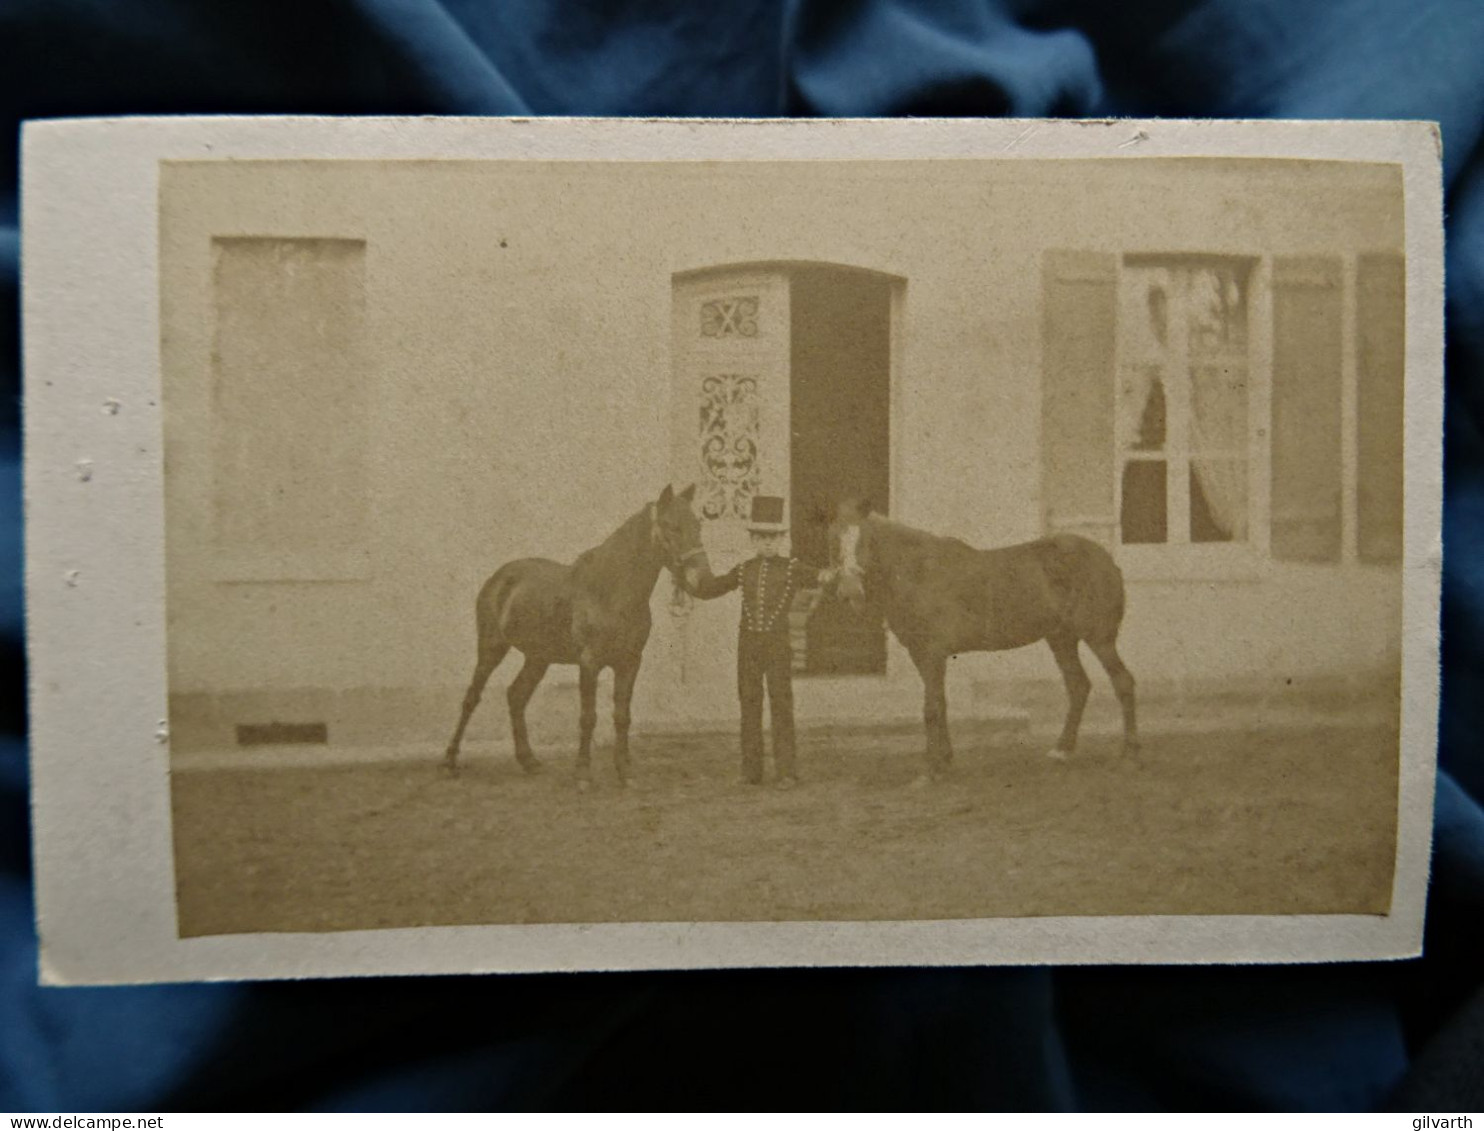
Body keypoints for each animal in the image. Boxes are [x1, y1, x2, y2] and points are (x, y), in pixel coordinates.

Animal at [442, 483, 709, 783]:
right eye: (671, 525)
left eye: (698, 524)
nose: (702, 578)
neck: (610, 592)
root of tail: (498, 578)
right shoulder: (589, 663)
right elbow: (588, 716)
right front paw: (583, 774)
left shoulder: (629, 662)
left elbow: (622, 715)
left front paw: (624, 771)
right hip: (491, 648)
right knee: (472, 698)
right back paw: (450, 761)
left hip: (538, 658)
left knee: (516, 696)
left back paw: (529, 761)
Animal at [836, 510, 1133, 777]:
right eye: (835, 541)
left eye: (866, 541)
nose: (851, 592)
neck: (919, 572)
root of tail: (1107, 560)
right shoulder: (920, 654)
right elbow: (939, 702)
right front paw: (944, 760)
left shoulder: (932, 654)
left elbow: (931, 708)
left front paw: (932, 768)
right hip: (1061, 638)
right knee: (1078, 686)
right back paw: (1061, 751)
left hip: (1099, 638)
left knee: (1122, 682)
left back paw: (1128, 754)